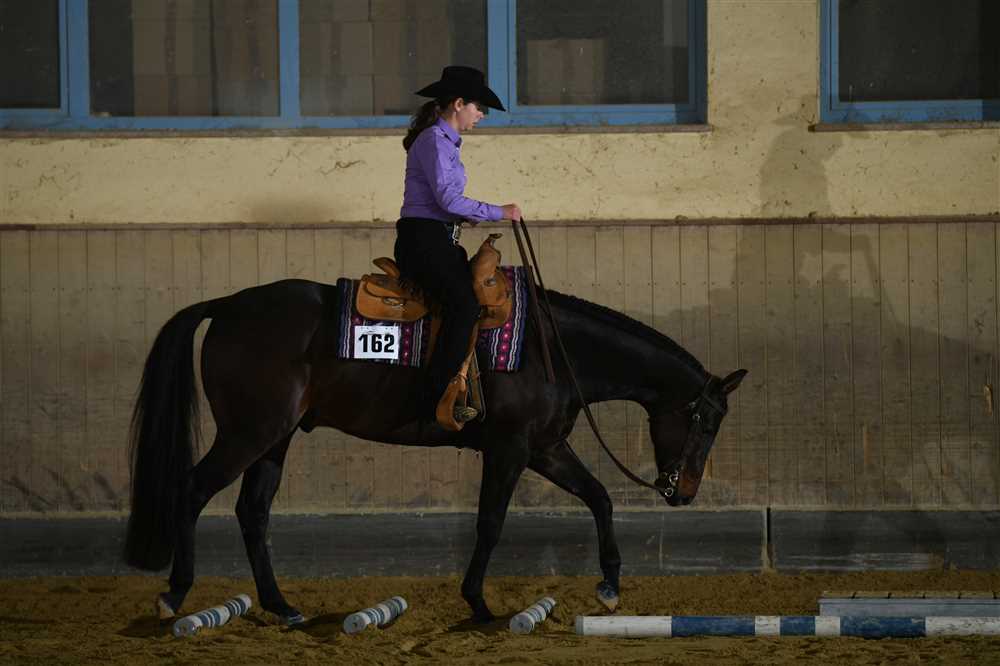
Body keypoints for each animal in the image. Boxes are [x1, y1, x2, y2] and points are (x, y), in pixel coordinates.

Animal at [123, 276, 746, 625]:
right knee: (192, 490)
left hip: (275, 440)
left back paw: (281, 606)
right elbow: (490, 523)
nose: (683, 492)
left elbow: (599, 498)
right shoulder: (509, 448)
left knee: (253, 513)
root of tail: (227, 304)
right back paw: (173, 595)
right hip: (247, 433)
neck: (551, 350)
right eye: (707, 421)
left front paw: (611, 587)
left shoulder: (545, 446)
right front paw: (478, 604)